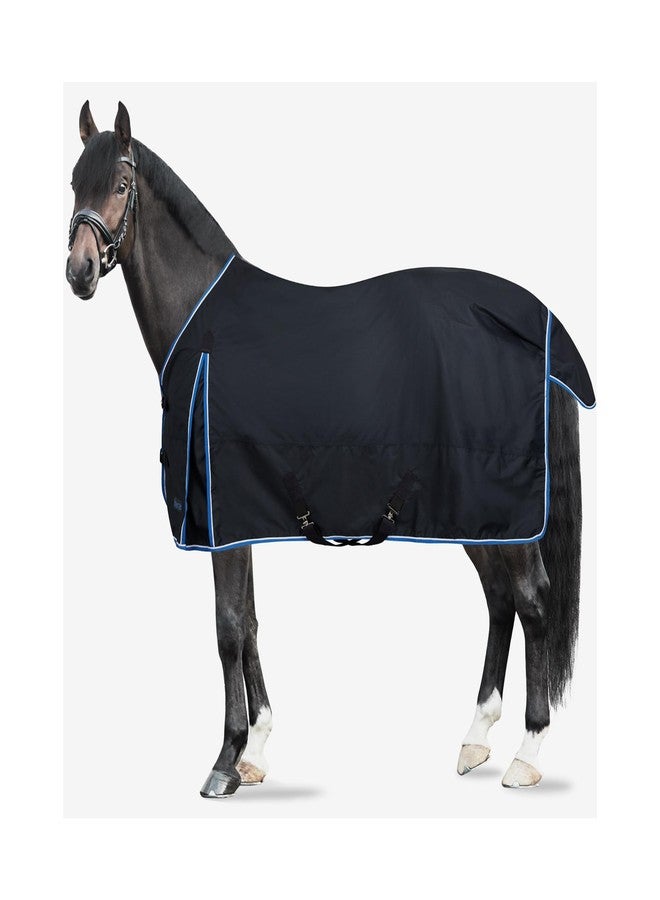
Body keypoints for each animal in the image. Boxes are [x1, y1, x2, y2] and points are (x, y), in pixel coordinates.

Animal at [66, 100, 591, 797]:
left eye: (121, 185)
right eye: (74, 183)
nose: (79, 272)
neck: (205, 331)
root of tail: (535, 329)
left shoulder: (223, 516)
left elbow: (227, 626)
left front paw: (223, 761)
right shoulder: (241, 517)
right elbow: (249, 621)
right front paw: (256, 750)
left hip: (503, 510)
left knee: (531, 599)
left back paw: (527, 753)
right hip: (472, 512)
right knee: (501, 599)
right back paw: (476, 738)